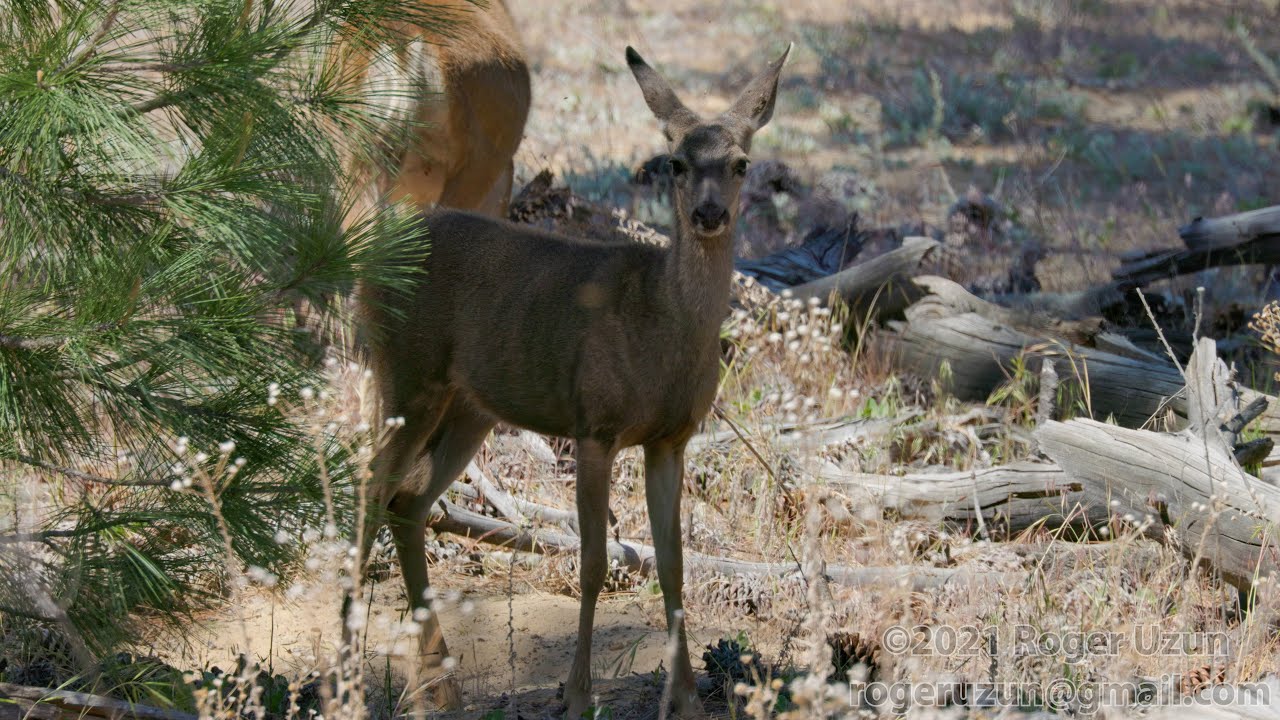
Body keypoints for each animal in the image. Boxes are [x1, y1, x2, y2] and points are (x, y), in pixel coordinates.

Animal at [350, 43, 791, 718]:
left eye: (741, 164)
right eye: (676, 162)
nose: (709, 213)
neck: (660, 318)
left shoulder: (671, 440)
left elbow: (673, 564)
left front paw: (686, 697)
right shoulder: (596, 425)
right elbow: (593, 564)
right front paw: (579, 694)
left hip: (468, 406)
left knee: (409, 502)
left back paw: (441, 683)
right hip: (406, 373)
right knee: (371, 491)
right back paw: (349, 668)